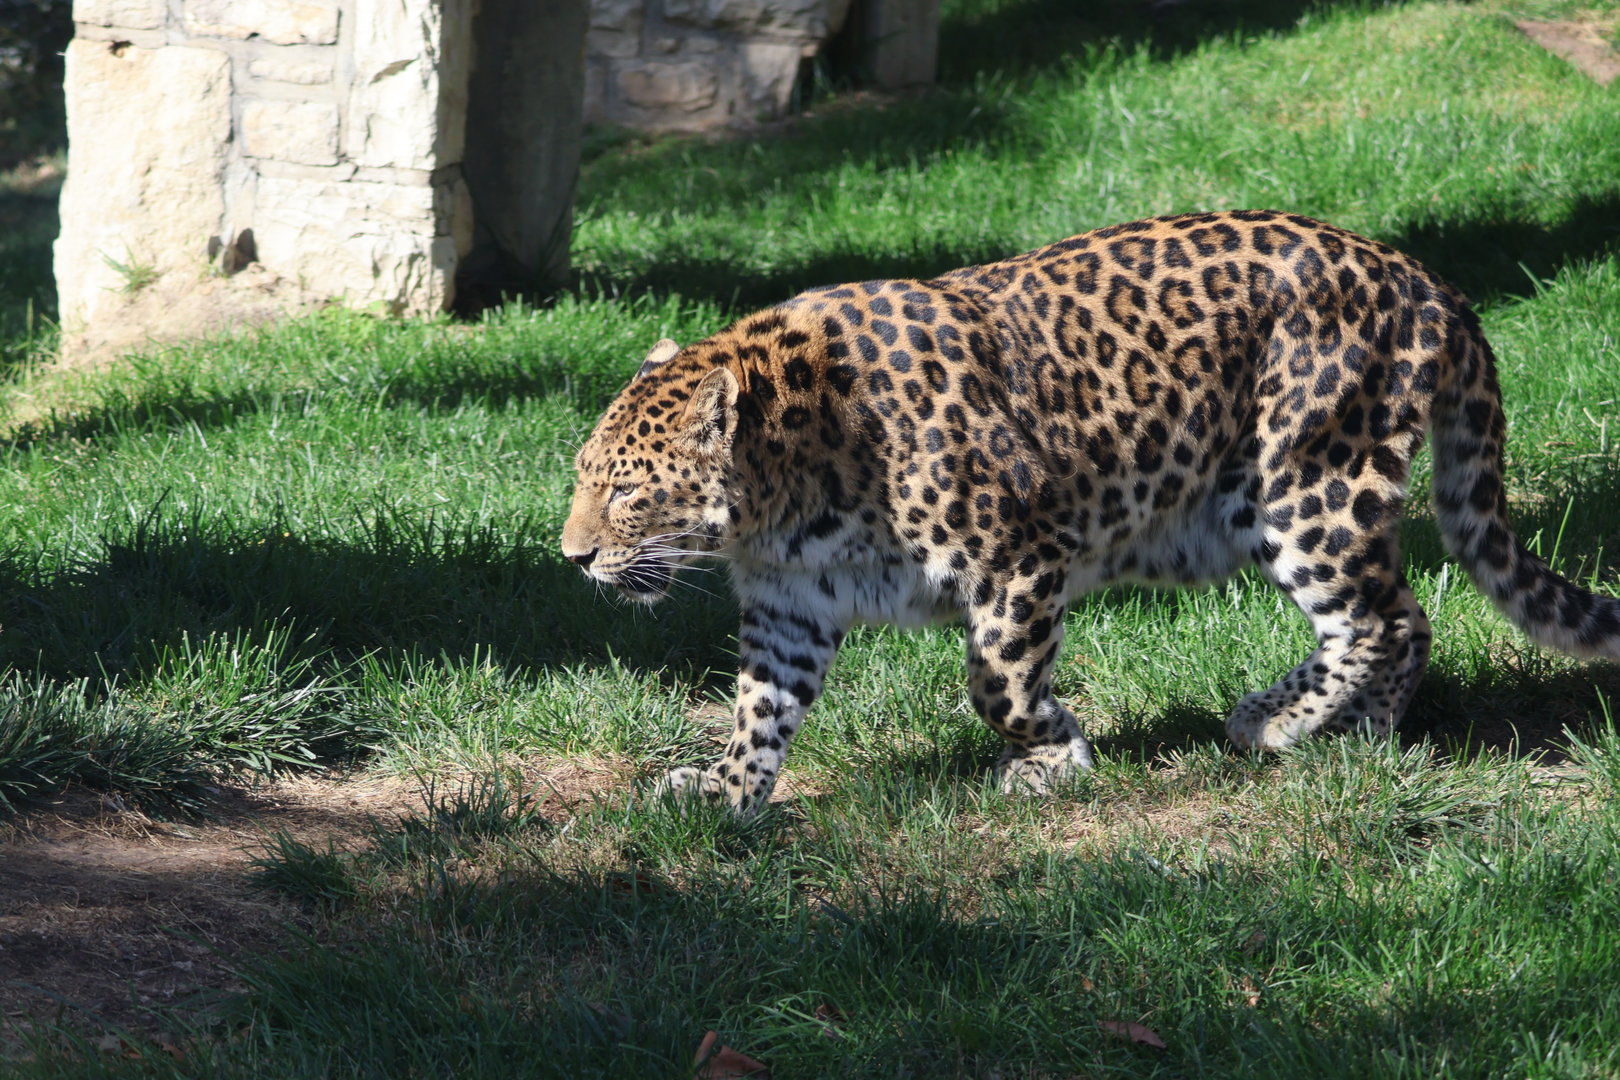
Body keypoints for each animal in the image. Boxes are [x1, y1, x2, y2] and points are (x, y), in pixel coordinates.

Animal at [561, 209, 1620, 816]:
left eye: (624, 490)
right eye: (581, 474)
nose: (572, 558)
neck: (781, 498)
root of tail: (1421, 276)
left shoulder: (1020, 555)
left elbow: (997, 683)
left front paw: (1053, 758)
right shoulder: (791, 604)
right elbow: (759, 707)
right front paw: (726, 792)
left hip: (1310, 478)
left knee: (1383, 616)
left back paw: (1278, 721)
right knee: (1405, 616)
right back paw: (1361, 732)